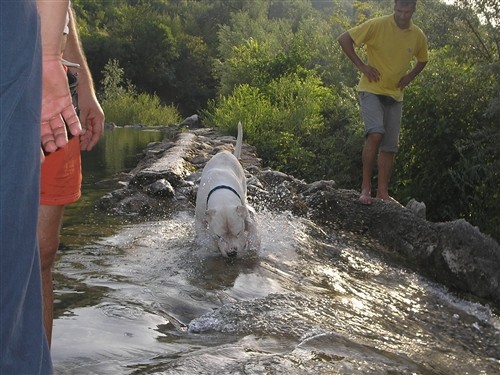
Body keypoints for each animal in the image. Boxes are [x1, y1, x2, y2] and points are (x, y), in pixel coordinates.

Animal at [194, 123, 262, 258]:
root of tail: (226, 152)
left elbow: (252, 227)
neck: (222, 195)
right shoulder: (199, 218)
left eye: (238, 232)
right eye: (218, 235)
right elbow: (204, 236)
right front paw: (212, 245)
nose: (232, 252)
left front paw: (253, 245)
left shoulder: (243, 212)